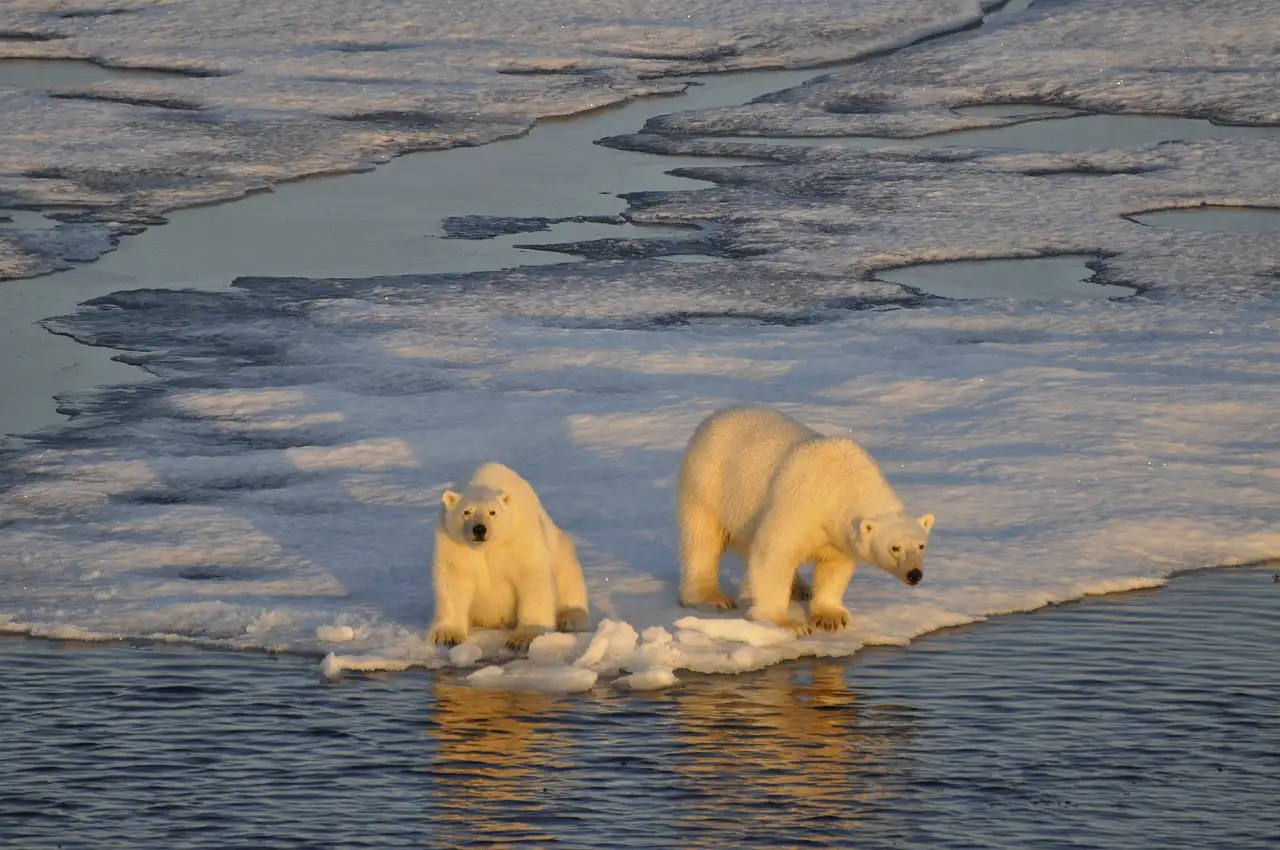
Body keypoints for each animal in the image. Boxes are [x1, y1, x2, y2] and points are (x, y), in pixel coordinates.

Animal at [427, 460, 591, 647]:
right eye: (466, 511)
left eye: (492, 512)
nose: (479, 529)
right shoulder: (454, 541)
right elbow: (454, 578)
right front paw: (447, 635)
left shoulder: (518, 535)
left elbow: (531, 576)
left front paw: (524, 637)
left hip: (562, 551)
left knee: (568, 577)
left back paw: (570, 618)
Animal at [675, 401, 936, 634]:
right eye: (894, 547)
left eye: (921, 545)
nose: (915, 574)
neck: (842, 484)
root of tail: (714, 417)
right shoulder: (801, 502)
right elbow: (774, 554)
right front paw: (787, 623)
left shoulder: (837, 532)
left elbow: (835, 565)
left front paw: (831, 618)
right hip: (709, 483)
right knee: (703, 539)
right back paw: (711, 597)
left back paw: (801, 588)